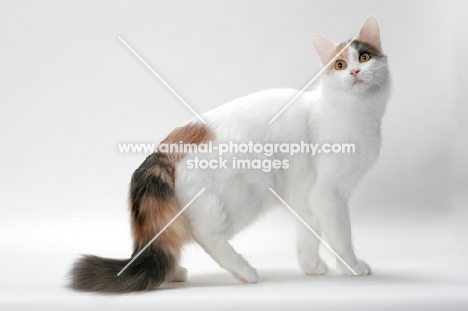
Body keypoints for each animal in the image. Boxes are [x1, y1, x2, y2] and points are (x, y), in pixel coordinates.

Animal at [70, 15, 392, 292]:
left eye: (364, 57)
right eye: (340, 64)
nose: (354, 72)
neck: (355, 114)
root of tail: (167, 146)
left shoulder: (308, 197)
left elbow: (307, 236)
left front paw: (311, 266)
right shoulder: (329, 193)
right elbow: (341, 237)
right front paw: (352, 267)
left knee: (167, 239)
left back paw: (173, 274)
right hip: (247, 193)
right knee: (205, 236)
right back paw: (244, 271)